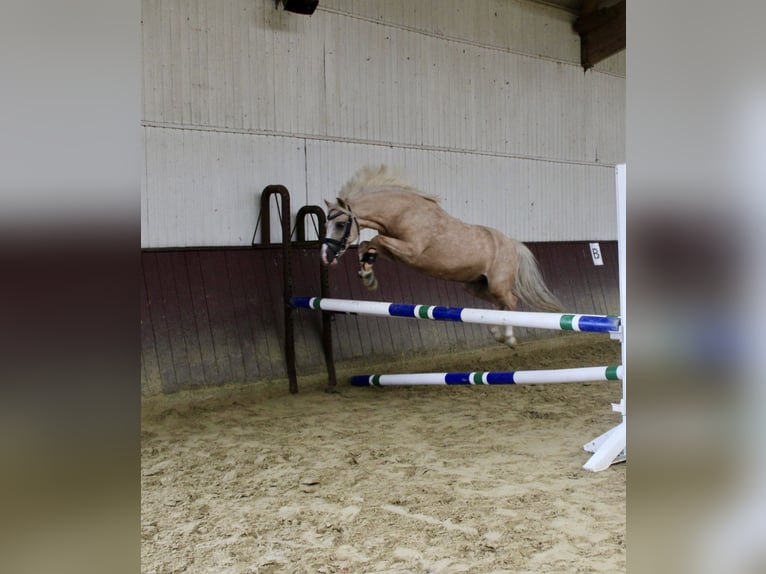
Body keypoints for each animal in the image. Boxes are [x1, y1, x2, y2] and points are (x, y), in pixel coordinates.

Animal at [320, 165, 563, 346]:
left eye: (340, 224)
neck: (404, 212)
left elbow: (376, 241)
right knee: (498, 304)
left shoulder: (411, 250)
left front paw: (368, 275)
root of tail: (511, 243)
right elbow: (367, 245)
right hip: (474, 285)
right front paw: (367, 275)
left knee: (511, 301)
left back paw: (510, 338)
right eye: (325, 225)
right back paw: (496, 332)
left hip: (497, 284)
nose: (326, 256)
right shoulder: (397, 252)